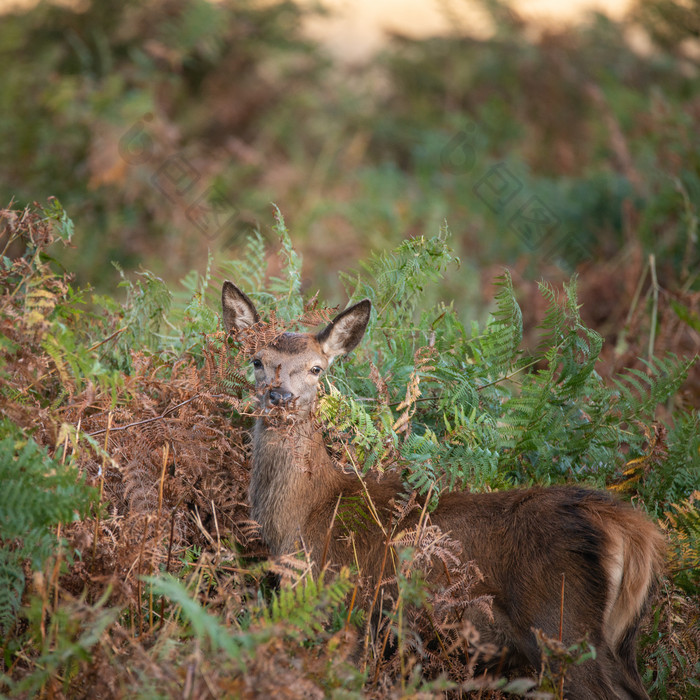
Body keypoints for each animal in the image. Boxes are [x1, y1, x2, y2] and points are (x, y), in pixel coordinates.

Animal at [221, 280, 664, 700]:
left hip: (561, 620)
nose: (280, 396)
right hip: (613, 641)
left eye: (316, 368)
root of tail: (628, 527)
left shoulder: (342, 602)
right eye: (257, 360)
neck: (302, 518)